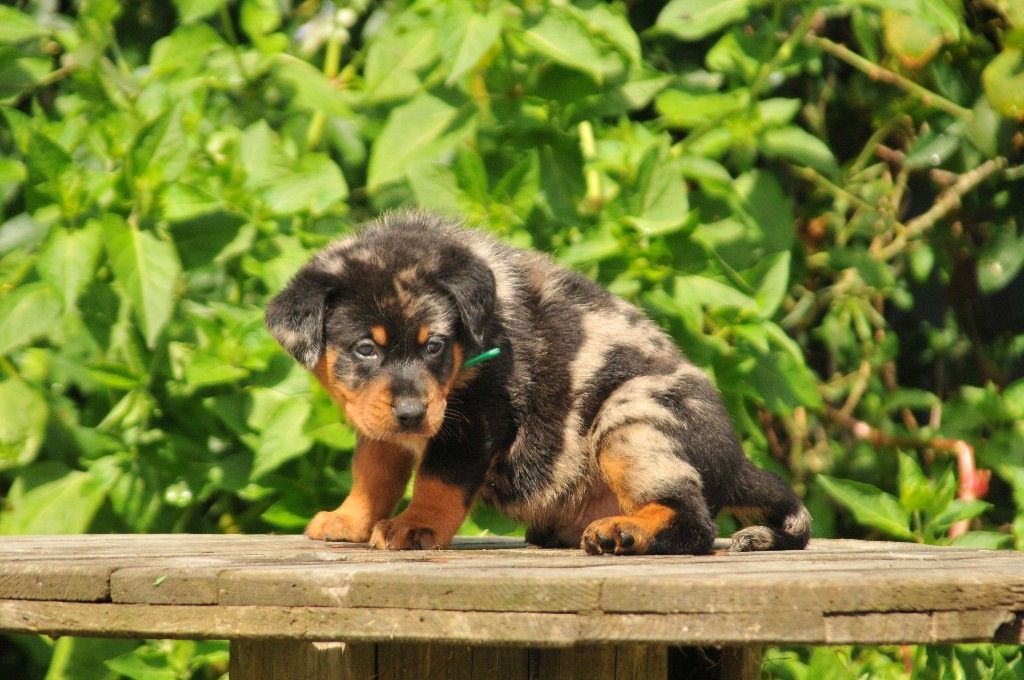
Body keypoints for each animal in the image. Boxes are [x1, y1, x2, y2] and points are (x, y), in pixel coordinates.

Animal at [265, 211, 811, 554]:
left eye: (435, 345)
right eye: (366, 349)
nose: (412, 414)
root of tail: (735, 460)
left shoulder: (474, 418)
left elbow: (439, 481)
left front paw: (414, 526)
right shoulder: (381, 422)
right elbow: (372, 473)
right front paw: (350, 521)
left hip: (630, 417)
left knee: (692, 520)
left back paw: (623, 532)